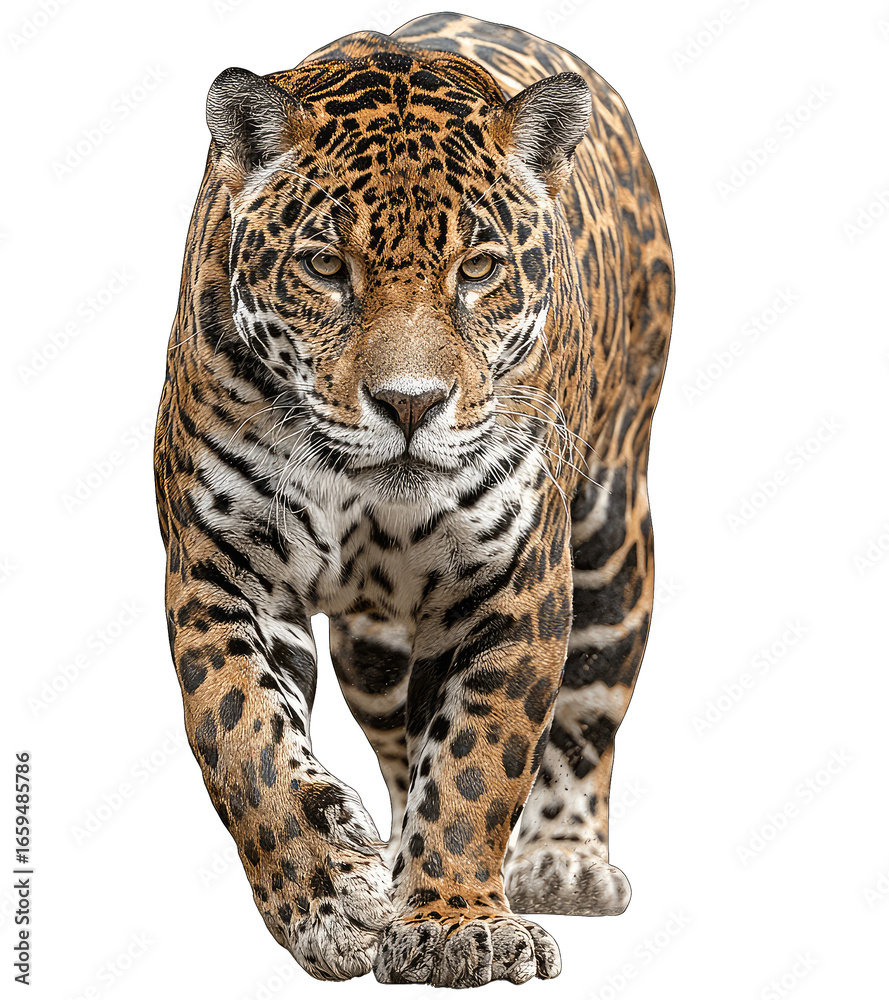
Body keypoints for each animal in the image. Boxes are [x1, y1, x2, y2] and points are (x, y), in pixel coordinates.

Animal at [154, 10, 673, 988]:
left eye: (477, 269)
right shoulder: (221, 572)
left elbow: (478, 761)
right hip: (372, 646)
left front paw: (456, 924)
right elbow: (245, 742)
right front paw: (328, 899)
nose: (408, 402)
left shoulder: (512, 582)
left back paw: (564, 862)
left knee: (588, 709)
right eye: (325, 266)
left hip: (612, 535)